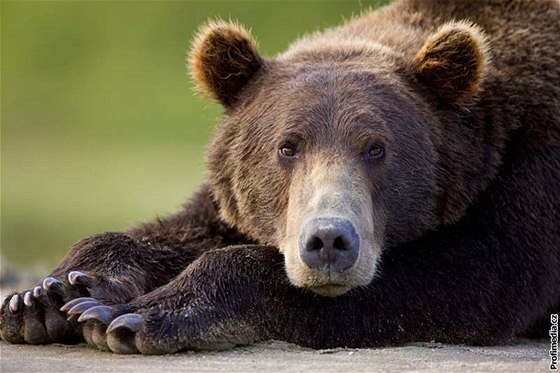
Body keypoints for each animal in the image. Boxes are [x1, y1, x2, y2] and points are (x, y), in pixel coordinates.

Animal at [1, 0, 560, 354]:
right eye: (286, 147)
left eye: (377, 148)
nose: (329, 241)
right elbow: (189, 227)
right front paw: (46, 297)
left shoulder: (533, 168)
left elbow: (475, 272)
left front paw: (130, 315)